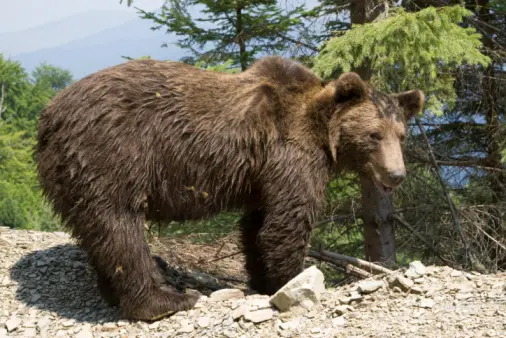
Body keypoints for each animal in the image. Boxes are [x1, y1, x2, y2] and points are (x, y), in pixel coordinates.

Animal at [34, 56, 422, 322]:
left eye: (401, 135)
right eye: (374, 135)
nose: (396, 174)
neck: (322, 132)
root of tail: (48, 117)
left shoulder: (263, 173)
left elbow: (258, 225)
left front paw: (264, 280)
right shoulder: (291, 153)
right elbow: (288, 221)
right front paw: (294, 279)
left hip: (73, 175)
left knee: (98, 233)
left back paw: (112, 293)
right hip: (110, 155)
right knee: (121, 228)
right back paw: (166, 300)